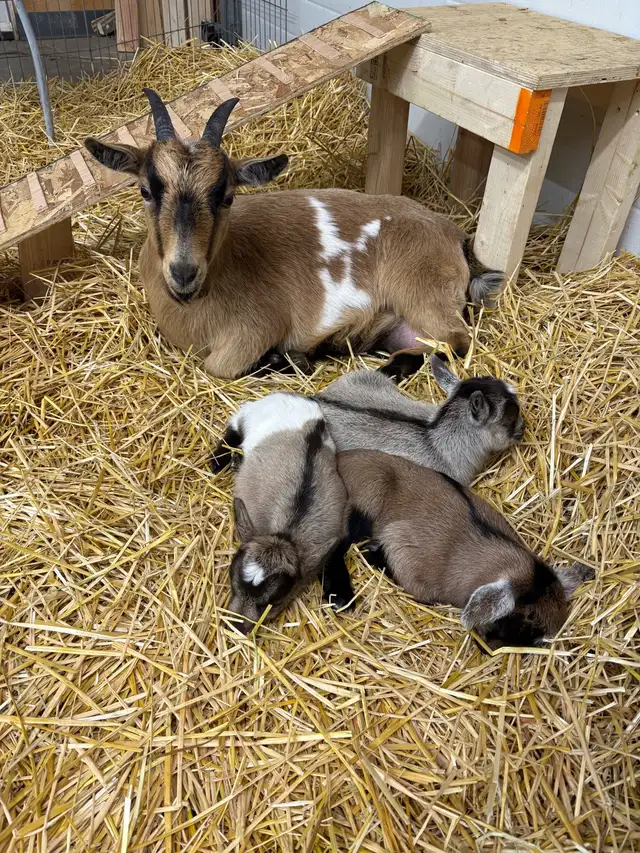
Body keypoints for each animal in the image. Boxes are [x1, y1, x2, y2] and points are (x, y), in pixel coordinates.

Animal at [84, 90, 503, 380]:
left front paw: (290, 358)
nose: (184, 272)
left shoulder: (252, 331)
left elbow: (218, 367)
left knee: (456, 341)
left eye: (227, 196)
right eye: (145, 190)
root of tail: (454, 234)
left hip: (422, 294)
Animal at [214, 393, 354, 633]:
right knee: (233, 428)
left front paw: (340, 594)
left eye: (273, 602)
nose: (236, 626)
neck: (287, 529)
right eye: (232, 583)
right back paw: (220, 460)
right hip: (248, 414)